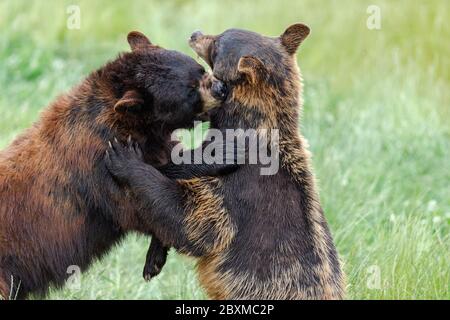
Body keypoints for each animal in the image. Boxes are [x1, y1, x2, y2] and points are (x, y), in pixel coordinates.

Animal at [0, 31, 232, 298]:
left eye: (200, 69)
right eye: (190, 91)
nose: (221, 89)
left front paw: (154, 259)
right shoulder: (98, 167)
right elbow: (136, 207)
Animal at [107, 24, 346, 300]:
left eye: (218, 44)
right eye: (224, 32)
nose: (195, 33)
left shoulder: (233, 190)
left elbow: (193, 221)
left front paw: (128, 160)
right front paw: (154, 257)